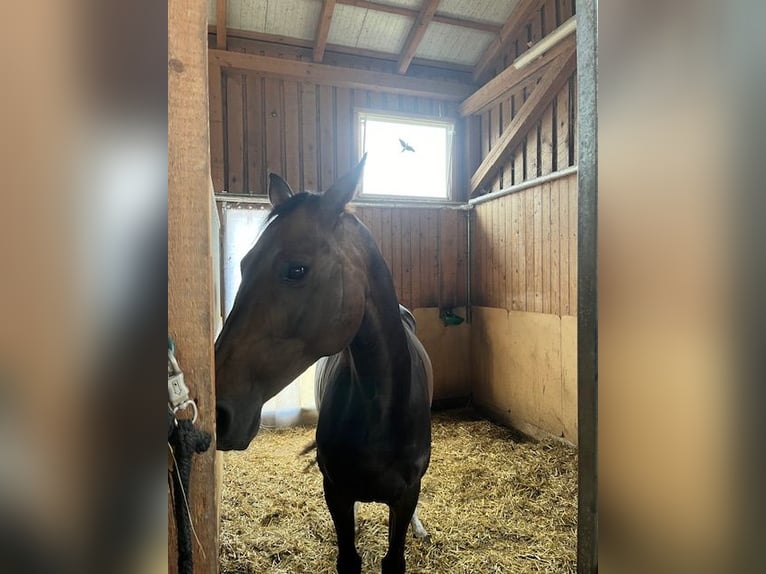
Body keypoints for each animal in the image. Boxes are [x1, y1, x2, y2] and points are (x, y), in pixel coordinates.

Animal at [213, 158, 436, 574]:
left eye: (297, 270)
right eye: (245, 264)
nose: (217, 413)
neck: (382, 410)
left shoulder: (404, 495)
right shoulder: (336, 492)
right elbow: (348, 558)